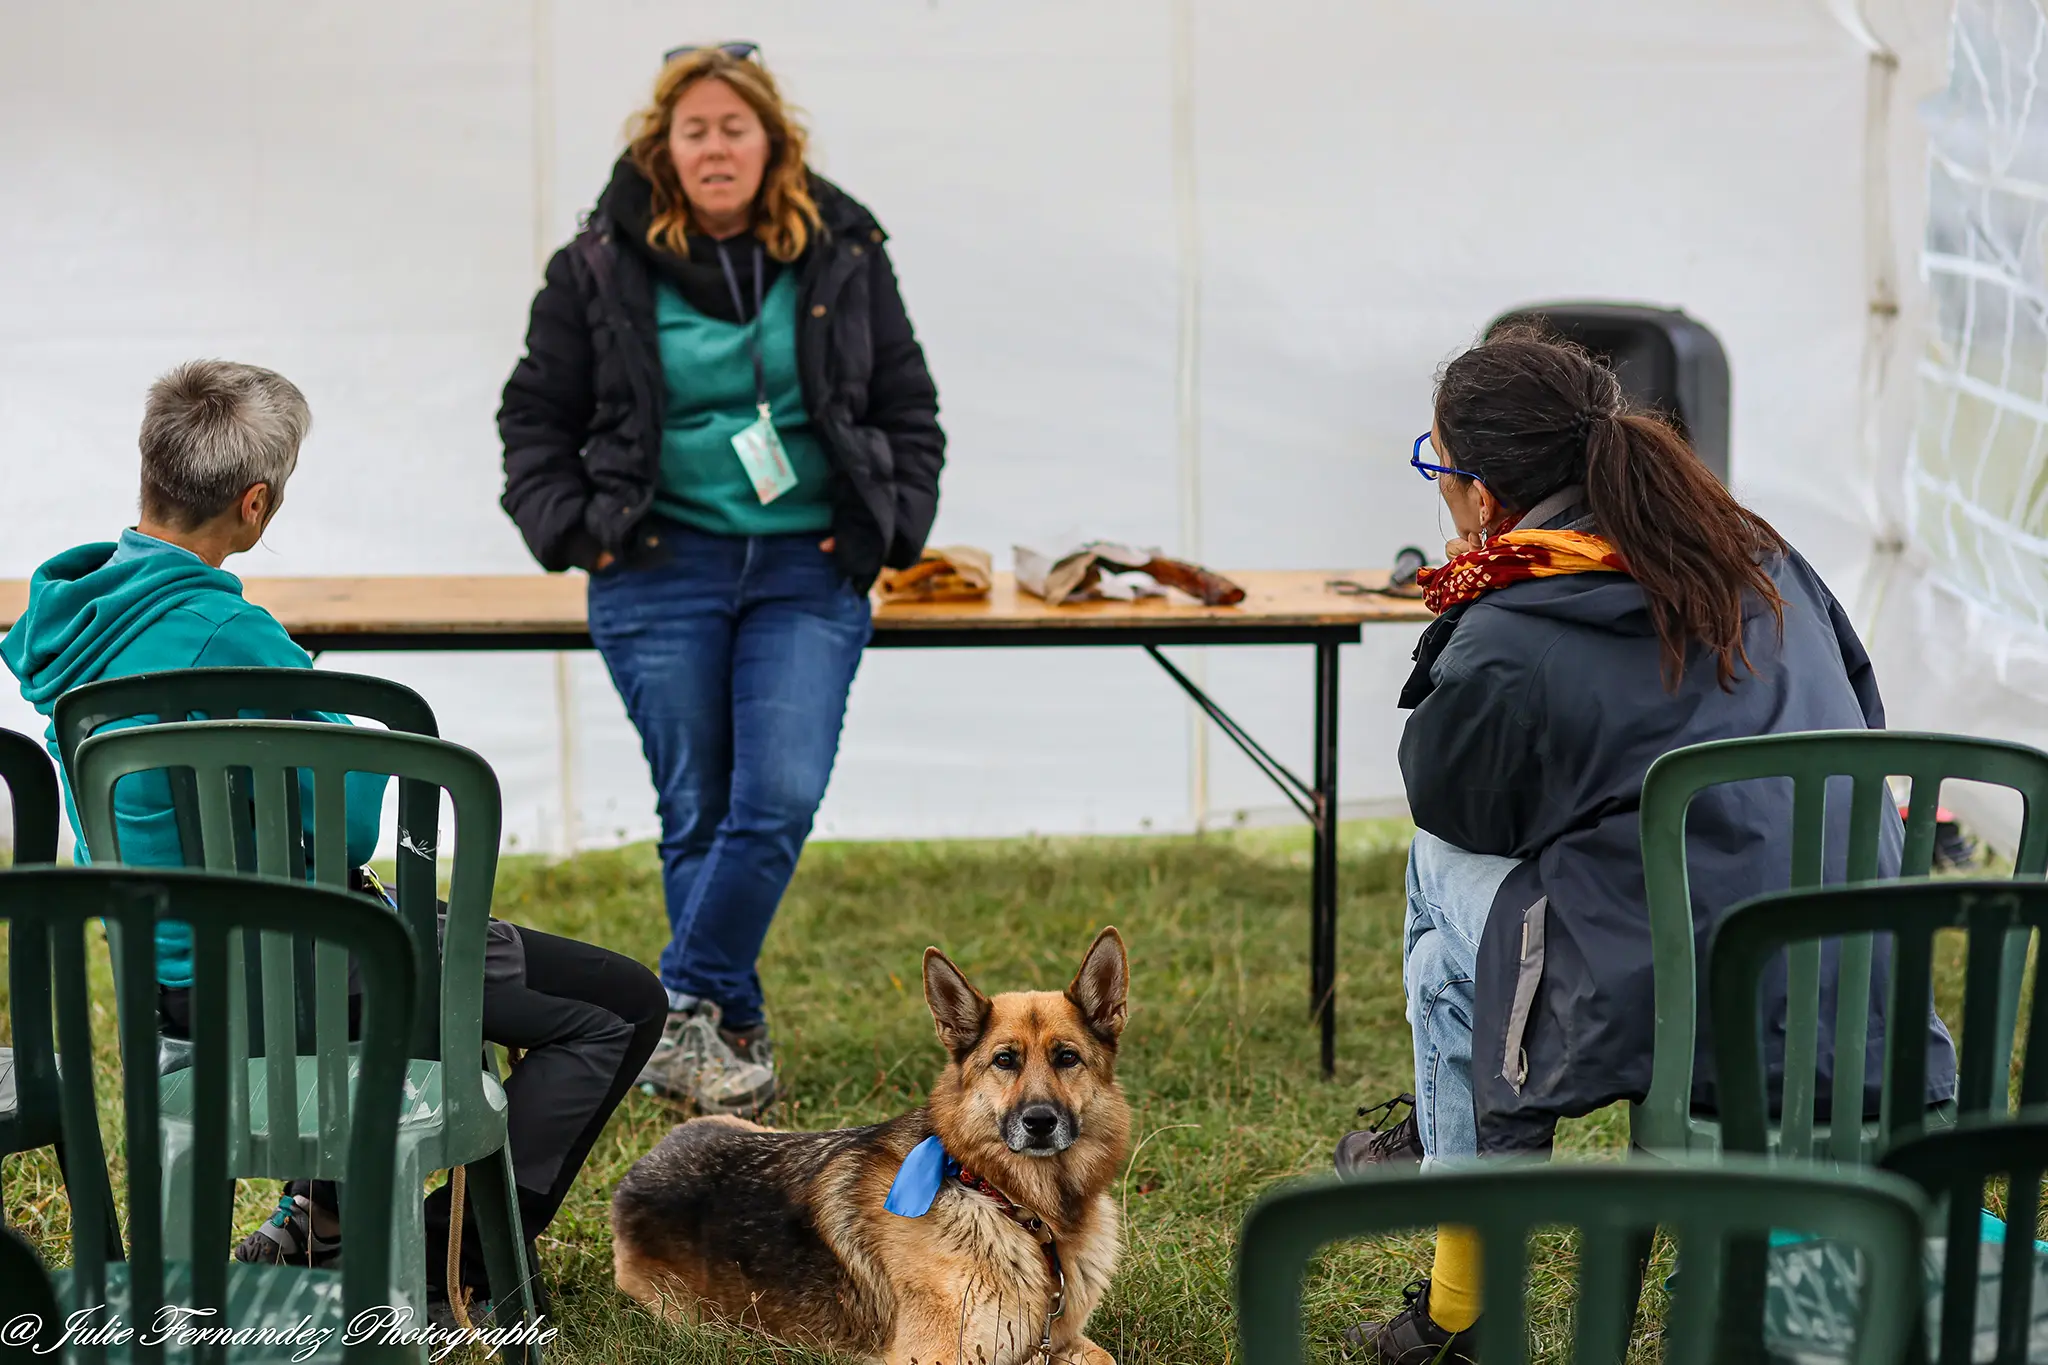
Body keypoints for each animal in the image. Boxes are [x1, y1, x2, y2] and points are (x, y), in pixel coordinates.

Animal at [606, 929, 1138, 1365]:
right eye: (1005, 1060)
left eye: (1066, 1058)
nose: (1040, 1123)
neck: (1006, 1201)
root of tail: (640, 1169)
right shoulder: (938, 1356)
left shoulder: (1061, 1339)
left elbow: (1105, 1357)